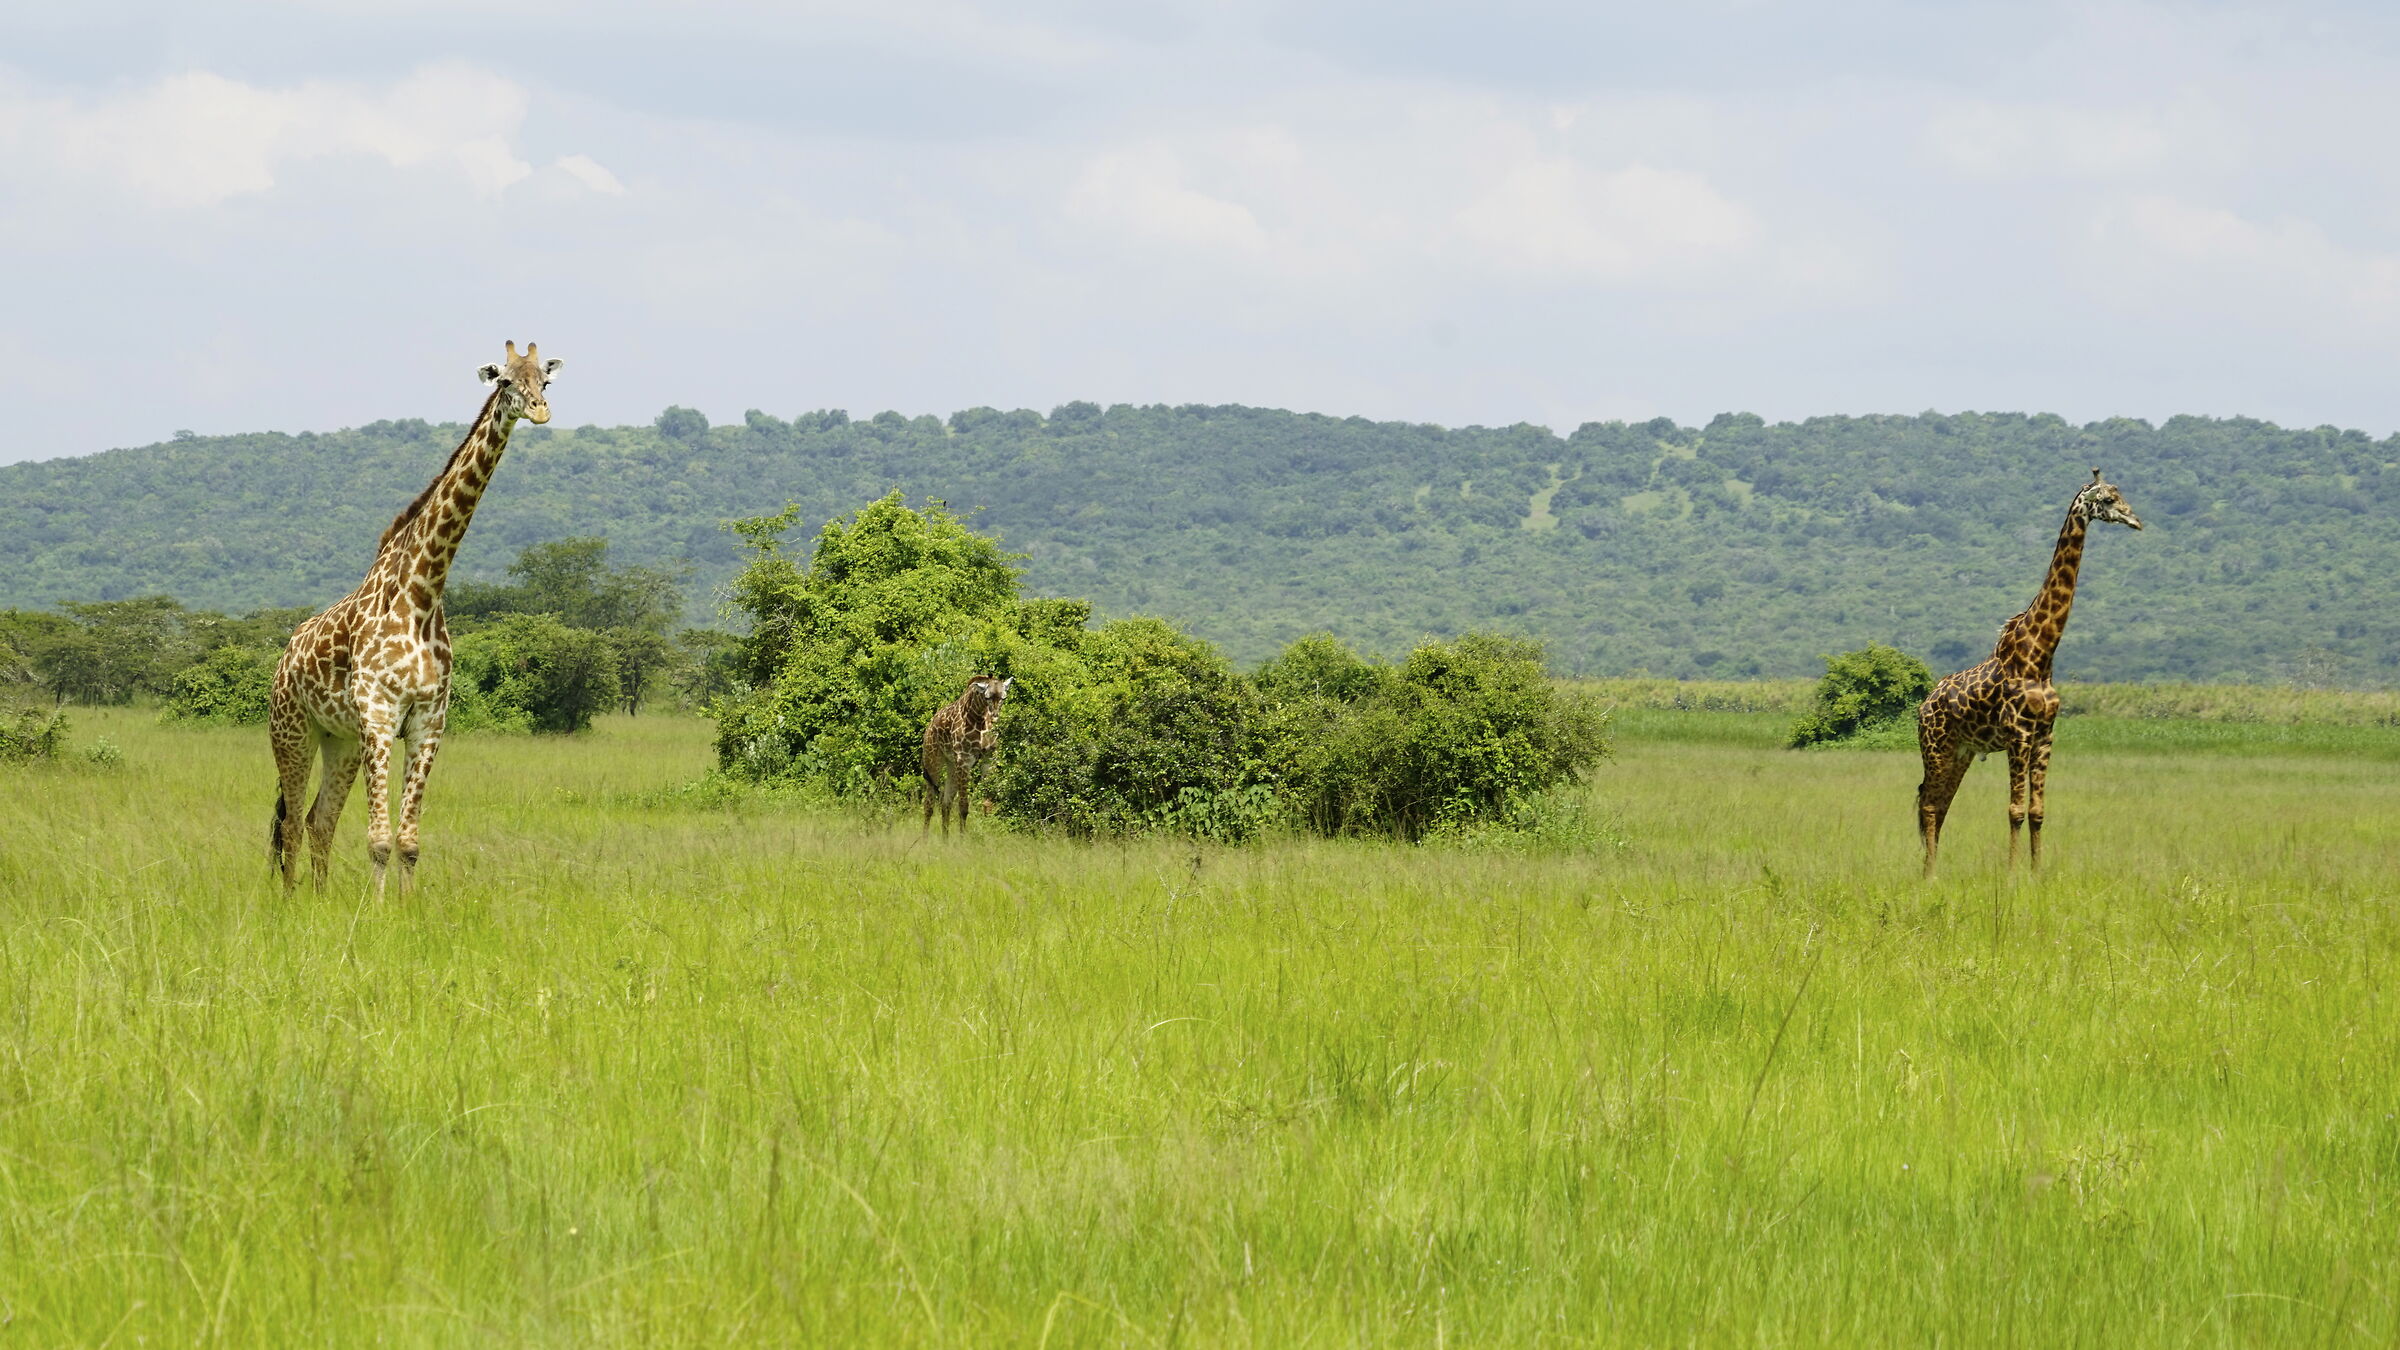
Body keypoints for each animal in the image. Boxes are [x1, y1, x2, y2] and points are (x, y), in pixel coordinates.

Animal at [268, 341, 563, 897]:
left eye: (545, 380)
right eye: (504, 381)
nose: (539, 411)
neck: (423, 592)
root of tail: (284, 658)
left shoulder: (428, 721)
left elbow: (408, 841)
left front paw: (407, 910)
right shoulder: (380, 715)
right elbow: (380, 839)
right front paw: (381, 911)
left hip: (339, 739)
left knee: (320, 819)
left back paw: (319, 898)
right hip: (291, 730)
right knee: (292, 821)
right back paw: (291, 900)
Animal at [921, 675, 1012, 834]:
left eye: (1003, 697)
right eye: (987, 697)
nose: (995, 717)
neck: (980, 719)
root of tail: (930, 725)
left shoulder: (989, 758)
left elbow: (987, 805)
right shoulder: (964, 759)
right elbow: (963, 806)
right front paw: (962, 837)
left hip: (952, 765)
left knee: (945, 802)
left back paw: (945, 838)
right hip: (933, 760)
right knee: (929, 804)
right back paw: (925, 838)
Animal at [1915, 468, 2142, 878]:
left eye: (2121, 495)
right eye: (2107, 500)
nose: (2136, 521)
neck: (2041, 653)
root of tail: (1923, 706)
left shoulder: (2045, 735)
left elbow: (2037, 811)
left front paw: (2037, 873)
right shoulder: (2017, 734)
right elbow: (2014, 811)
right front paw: (2010, 874)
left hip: (1960, 751)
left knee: (1939, 804)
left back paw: (1932, 868)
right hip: (1935, 746)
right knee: (1928, 803)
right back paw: (1930, 875)